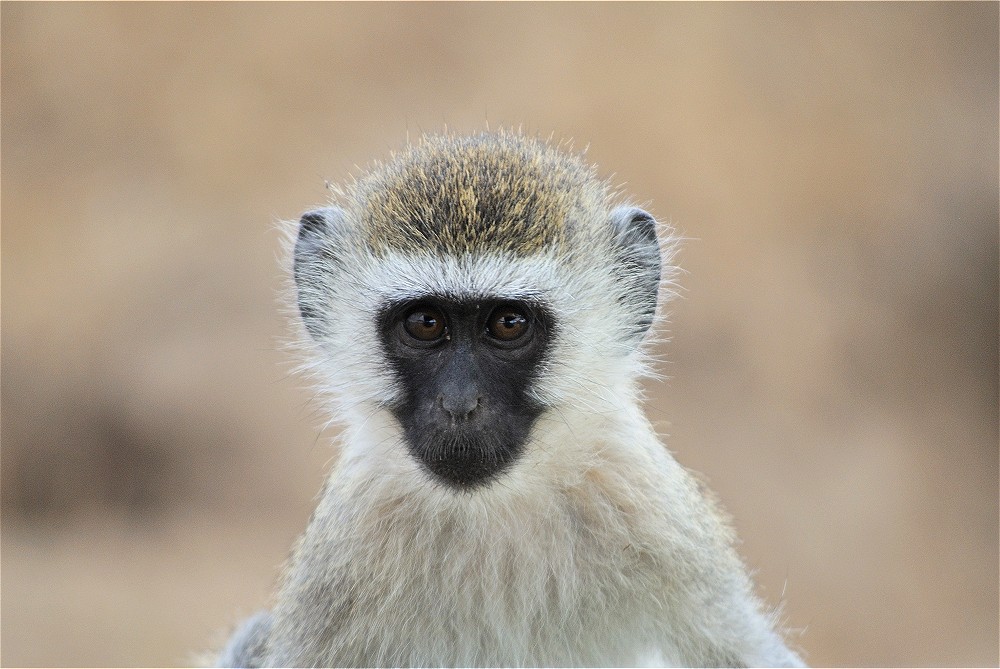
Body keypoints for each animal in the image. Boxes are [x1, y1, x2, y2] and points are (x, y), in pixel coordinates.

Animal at [219, 132, 804, 668]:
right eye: (425, 323)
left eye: (508, 324)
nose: (460, 404)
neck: (491, 510)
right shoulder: (343, 556)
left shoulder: (657, 520)